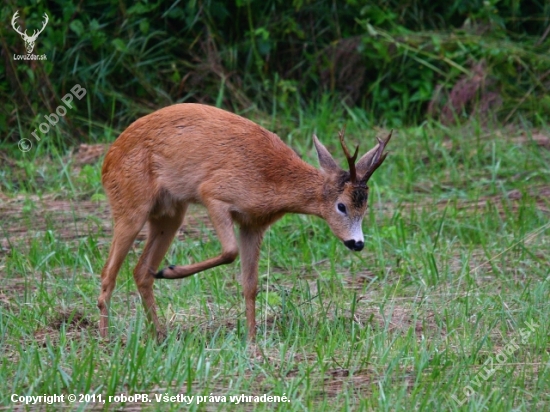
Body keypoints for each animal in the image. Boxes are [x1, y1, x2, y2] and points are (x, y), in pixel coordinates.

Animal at [99, 104, 392, 342]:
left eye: (365, 207)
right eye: (341, 206)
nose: (357, 243)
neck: (273, 182)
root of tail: (108, 159)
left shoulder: (254, 223)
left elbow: (251, 285)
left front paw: (252, 340)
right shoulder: (214, 193)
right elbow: (230, 252)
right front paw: (171, 270)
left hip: (170, 214)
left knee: (140, 271)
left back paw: (159, 333)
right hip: (130, 204)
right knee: (108, 273)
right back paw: (106, 338)